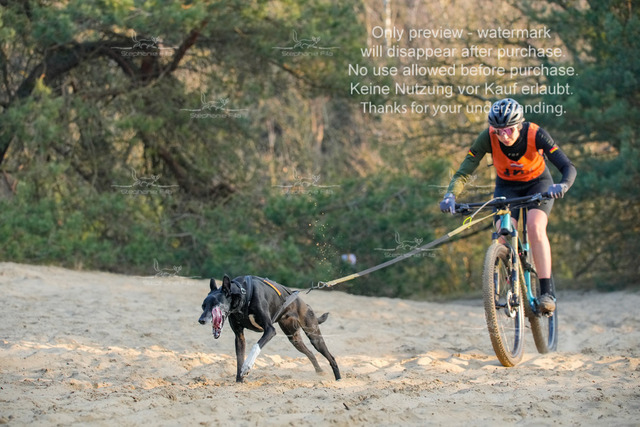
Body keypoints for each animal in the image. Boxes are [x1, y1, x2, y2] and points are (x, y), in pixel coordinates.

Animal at [198, 275, 341, 382]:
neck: (243, 294)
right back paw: (319, 371)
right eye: (203, 306)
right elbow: (239, 358)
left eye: (216, 304)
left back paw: (338, 379)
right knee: (310, 353)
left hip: (314, 337)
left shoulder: (270, 330)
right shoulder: (239, 337)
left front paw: (247, 366)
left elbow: (255, 346)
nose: (201, 320)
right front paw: (239, 380)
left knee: (331, 358)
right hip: (294, 339)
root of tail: (305, 304)